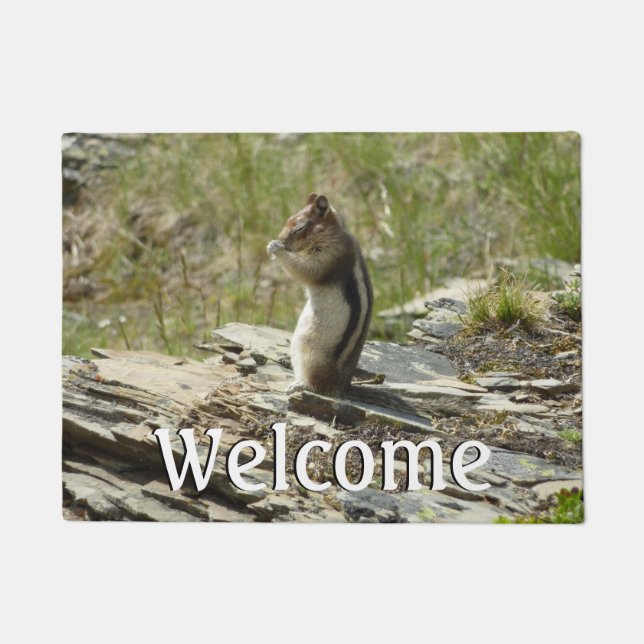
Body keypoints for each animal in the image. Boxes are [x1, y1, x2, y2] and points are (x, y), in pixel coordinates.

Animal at [267, 193, 472, 419]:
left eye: (299, 228)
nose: (282, 239)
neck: (332, 234)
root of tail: (343, 386)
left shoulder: (330, 256)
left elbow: (306, 270)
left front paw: (276, 248)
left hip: (308, 352)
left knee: (317, 386)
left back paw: (299, 385)